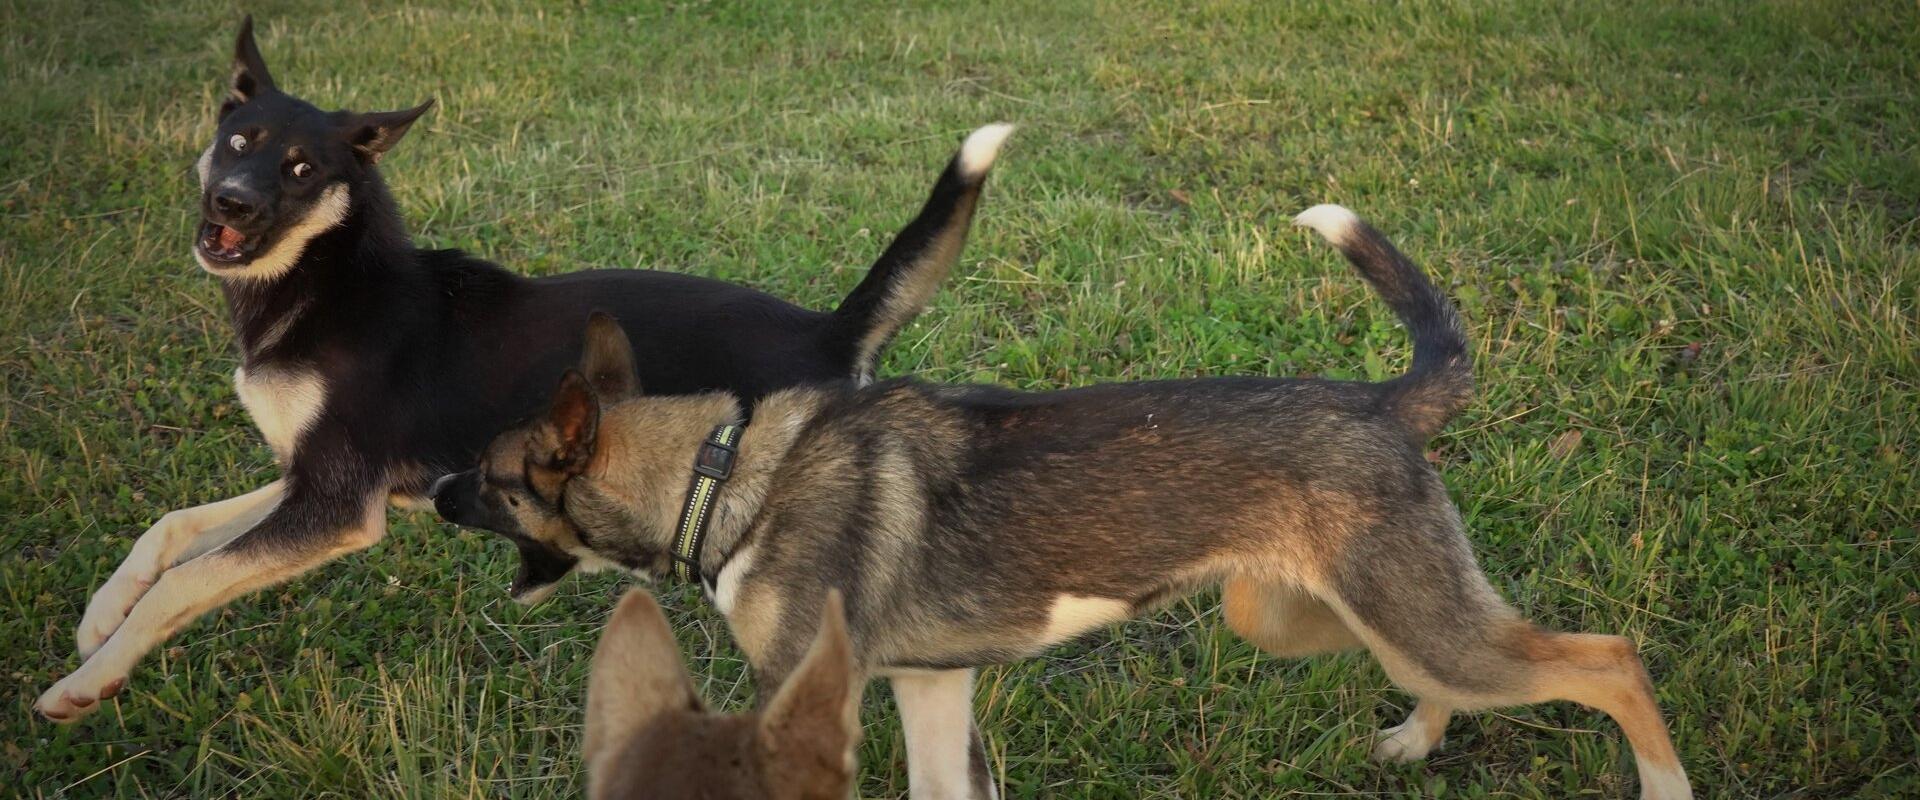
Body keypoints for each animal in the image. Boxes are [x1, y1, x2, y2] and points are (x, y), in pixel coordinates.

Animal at [33, 15, 1021, 721]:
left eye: (304, 167)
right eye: (240, 141)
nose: (230, 203)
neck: (328, 278)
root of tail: (829, 331)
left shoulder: (335, 507)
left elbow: (191, 578)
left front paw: (85, 684)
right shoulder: (312, 478)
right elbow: (172, 531)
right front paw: (99, 617)